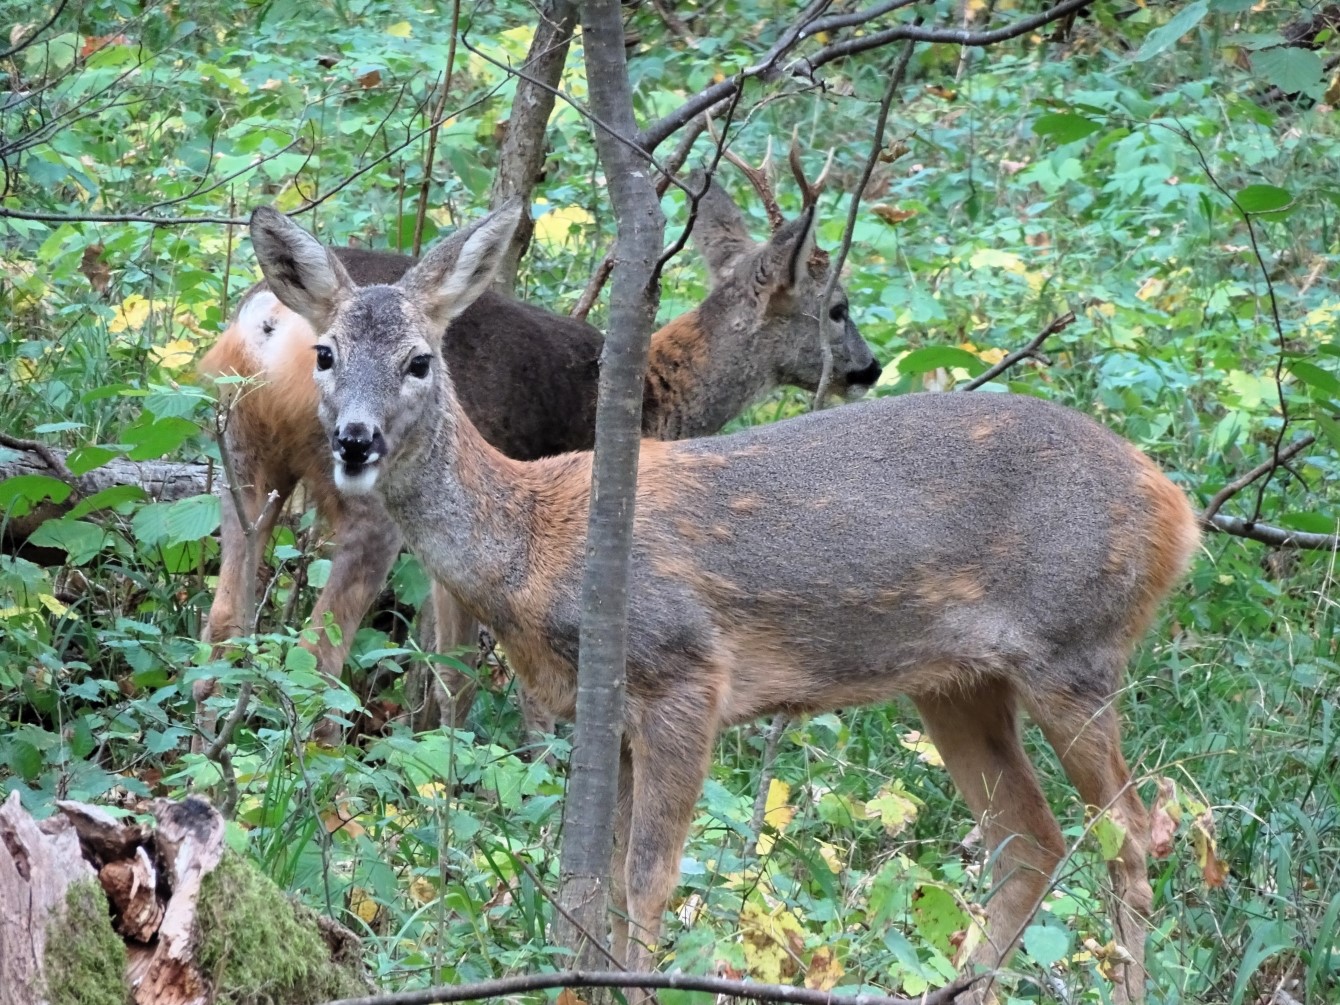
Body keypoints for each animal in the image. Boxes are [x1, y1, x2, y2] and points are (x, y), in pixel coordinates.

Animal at [199, 159, 880, 736]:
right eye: (838, 309)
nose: (869, 369)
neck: (658, 395)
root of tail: (268, 323)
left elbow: (443, 667)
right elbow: (473, 676)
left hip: (239, 461)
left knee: (223, 624)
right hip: (363, 498)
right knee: (320, 650)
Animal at [248, 197, 1199, 1005]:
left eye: (420, 360)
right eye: (325, 352)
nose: (355, 440)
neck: (532, 537)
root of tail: (1176, 509)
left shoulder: (684, 675)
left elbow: (646, 879)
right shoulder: (606, 714)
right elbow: (592, 881)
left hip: (1074, 646)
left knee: (1128, 834)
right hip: (958, 681)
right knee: (1030, 843)